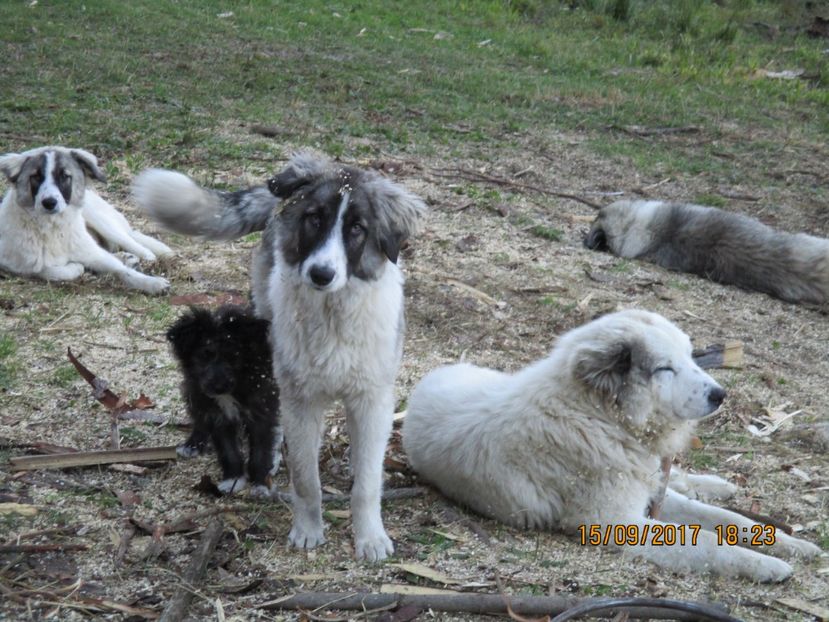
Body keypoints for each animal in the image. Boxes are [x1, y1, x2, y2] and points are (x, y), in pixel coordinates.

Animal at [166, 304, 282, 500]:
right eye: (204, 356)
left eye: (234, 356)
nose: (219, 387)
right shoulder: (218, 415)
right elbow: (229, 451)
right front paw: (233, 479)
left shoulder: (260, 411)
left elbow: (260, 451)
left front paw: (260, 484)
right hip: (195, 391)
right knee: (199, 417)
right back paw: (193, 444)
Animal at [402, 312, 820, 584]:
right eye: (665, 369)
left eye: (690, 357)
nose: (721, 395)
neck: (599, 416)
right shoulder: (620, 522)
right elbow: (707, 540)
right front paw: (764, 566)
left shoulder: (647, 492)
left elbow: (729, 520)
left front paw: (789, 544)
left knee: (683, 481)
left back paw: (719, 484)